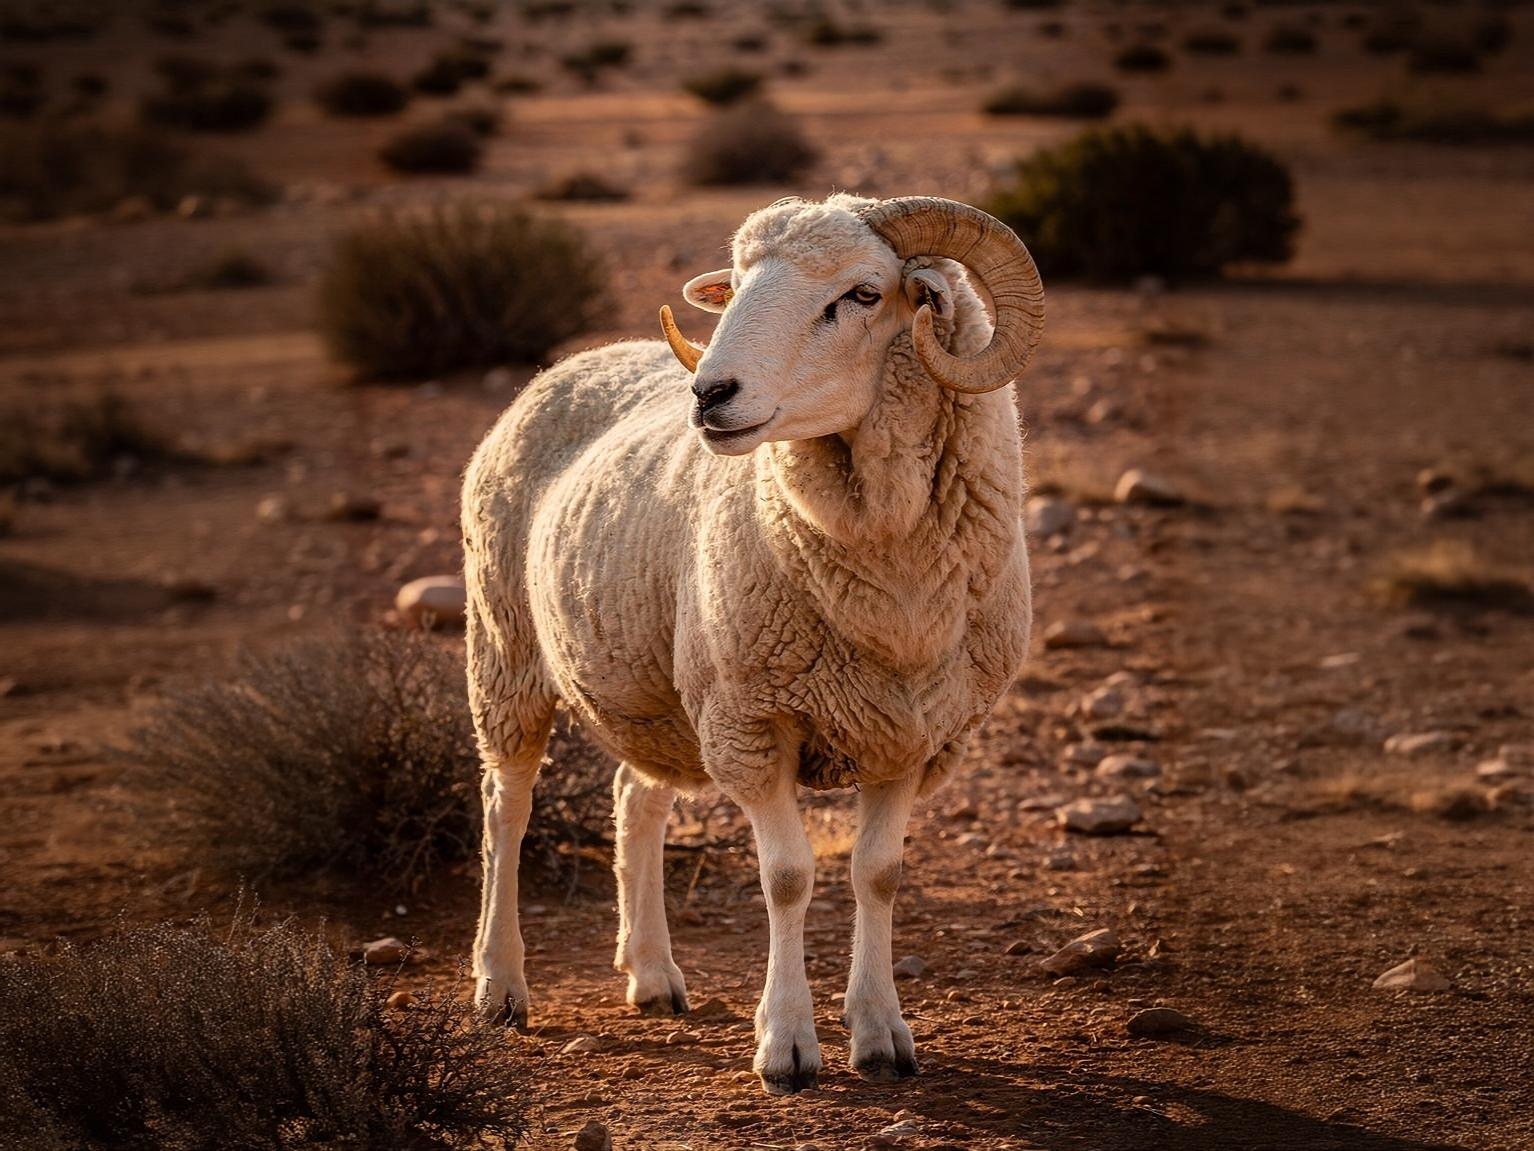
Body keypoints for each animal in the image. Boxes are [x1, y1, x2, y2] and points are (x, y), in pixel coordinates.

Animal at [461, 194, 1044, 1095]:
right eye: (733, 287)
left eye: (864, 294)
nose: (709, 393)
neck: (893, 599)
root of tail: (572, 364)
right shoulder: (752, 722)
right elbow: (788, 875)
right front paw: (787, 1043)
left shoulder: (914, 735)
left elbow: (878, 873)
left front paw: (881, 1032)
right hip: (507, 651)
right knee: (507, 808)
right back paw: (500, 984)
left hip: (660, 688)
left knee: (635, 798)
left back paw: (652, 974)